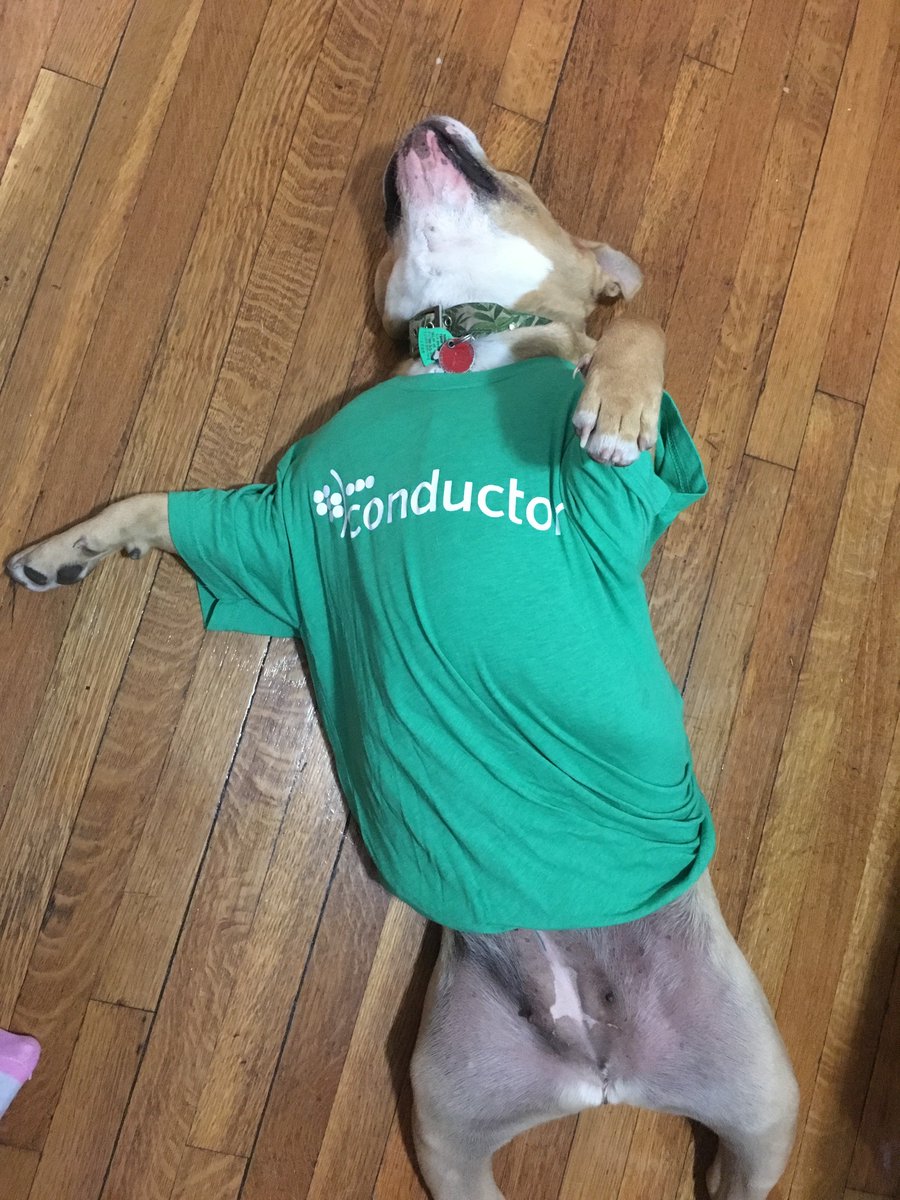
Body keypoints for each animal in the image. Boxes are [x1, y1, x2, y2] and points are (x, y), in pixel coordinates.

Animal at [7, 117, 798, 1200]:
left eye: (521, 180)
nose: (433, 120)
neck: (465, 339)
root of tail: (602, 1064)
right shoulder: (273, 532)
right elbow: (154, 504)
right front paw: (66, 551)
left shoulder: (626, 492)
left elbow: (639, 332)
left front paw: (619, 408)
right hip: (447, 1122)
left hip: (764, 1099)